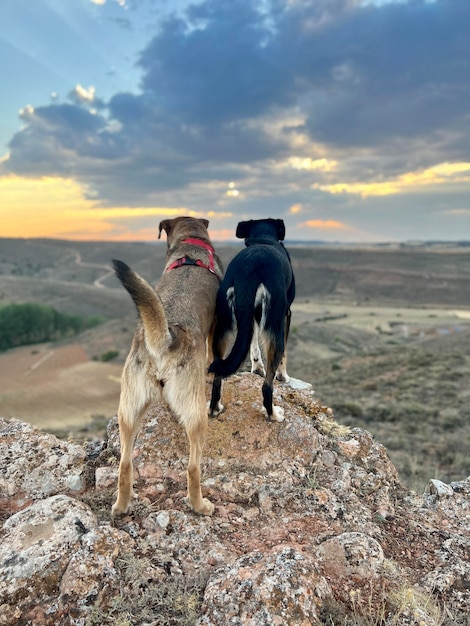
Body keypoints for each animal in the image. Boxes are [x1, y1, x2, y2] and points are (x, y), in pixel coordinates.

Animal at [113, 217, 224, 516]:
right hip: (197, 417)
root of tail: (165, 339)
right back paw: (200, 505)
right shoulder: (215, 328)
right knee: (193, 467)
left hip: (129, 410)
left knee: (124, 463)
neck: (190, 244)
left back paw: (122, 504)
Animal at [208, 218, 294, 420]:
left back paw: (215, 408)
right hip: (275, 323)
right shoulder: (286, 314)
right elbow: (284, 354)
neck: (263, 238)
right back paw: (273, 414)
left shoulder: (251, 316)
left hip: (222, 326)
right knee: (267, 386)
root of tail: (249, 270)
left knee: (217, 377)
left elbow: (253, 342)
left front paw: (257, 368)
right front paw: (283, 376)